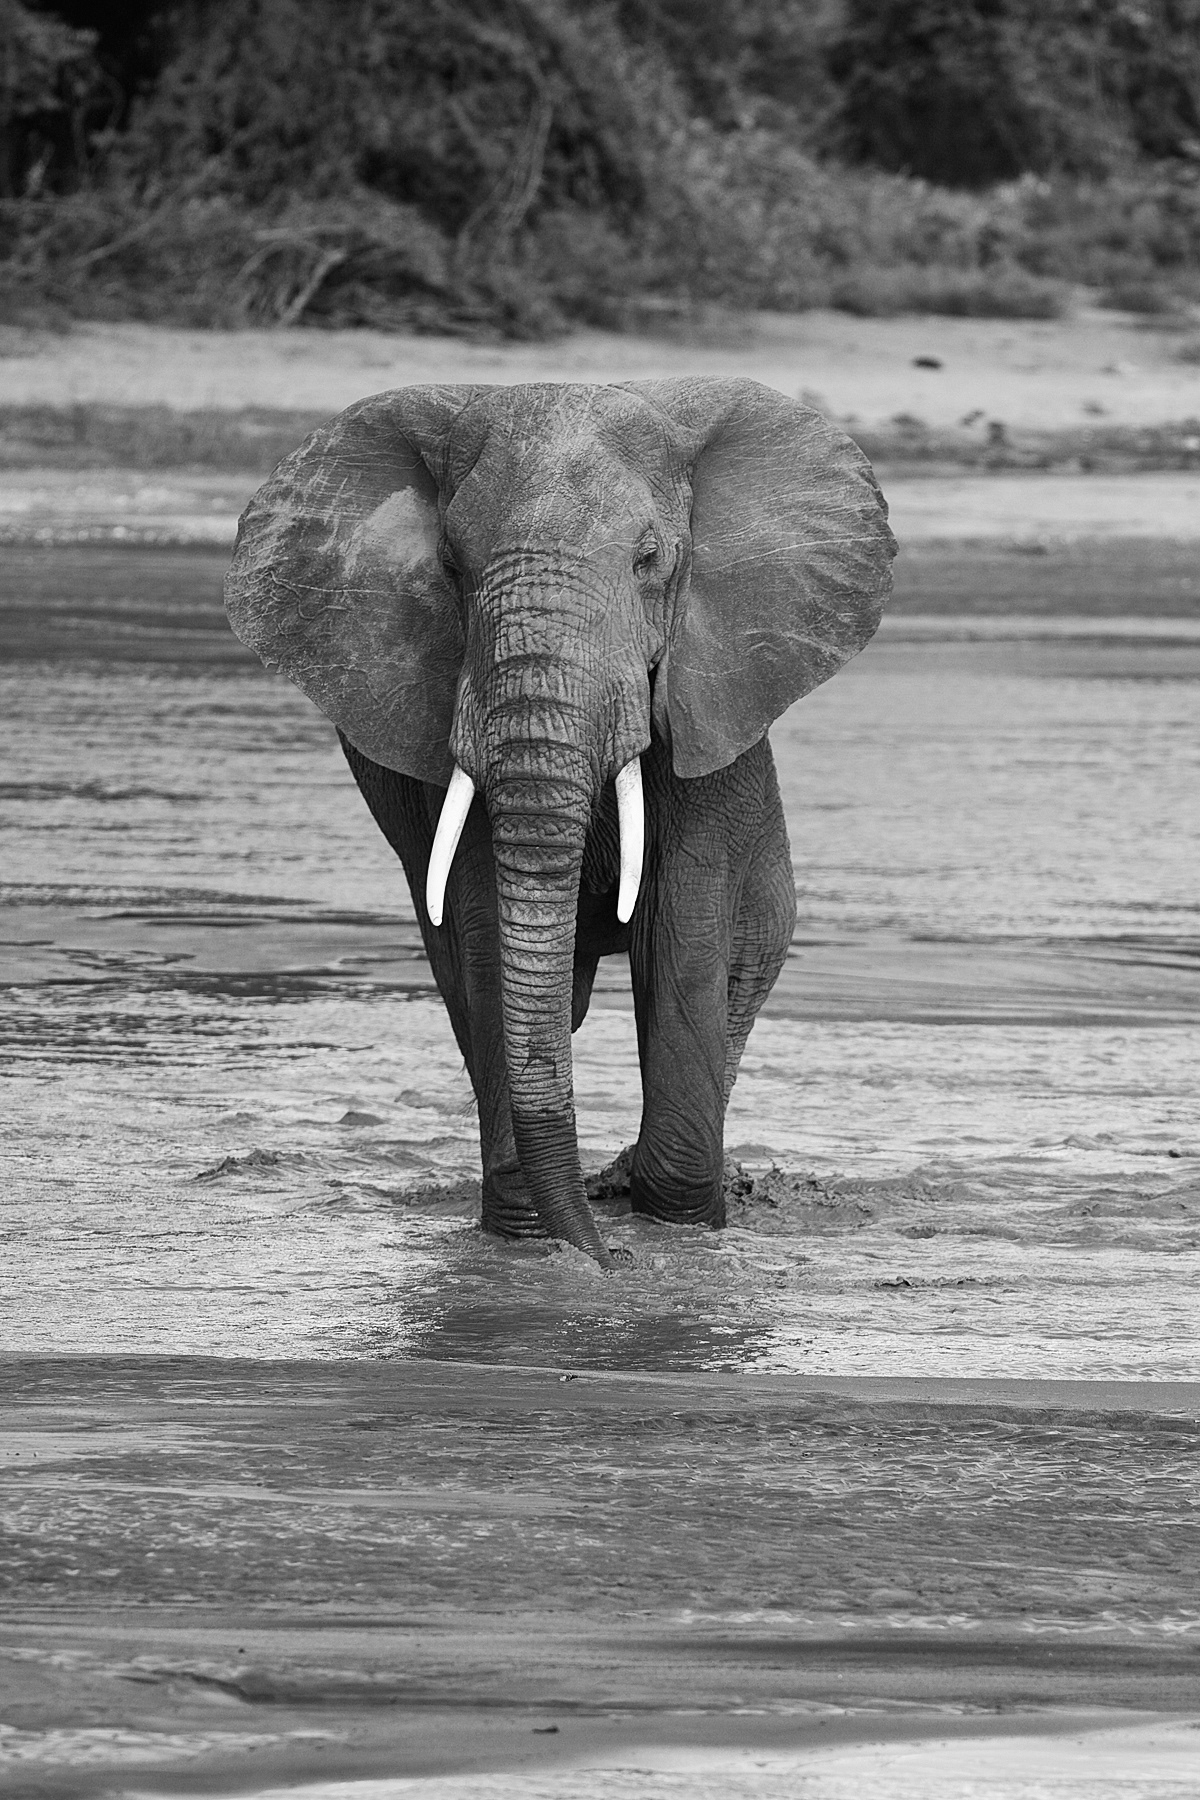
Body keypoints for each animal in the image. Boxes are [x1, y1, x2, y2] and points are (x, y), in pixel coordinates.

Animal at [225, 378, 895, 1265]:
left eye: (650, 560)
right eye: (450, 566)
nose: (608, 1260)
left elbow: (682, 926)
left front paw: (673, 1235)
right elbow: (482, 925)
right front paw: (534, 1246)